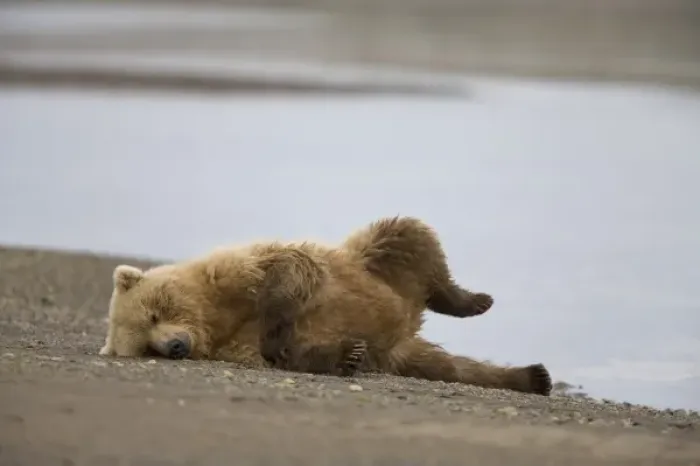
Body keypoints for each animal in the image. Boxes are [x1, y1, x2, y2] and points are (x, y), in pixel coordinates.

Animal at [100, 216, 552, 396]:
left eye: (155, 312)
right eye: (146, 346)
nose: (175, 346)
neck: (216, 318)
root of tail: (409, 322)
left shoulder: (240, 272)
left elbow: (286, 275)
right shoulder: (236, 346)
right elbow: (297, 352)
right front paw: (347, 355)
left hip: (377, 261)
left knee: (411, 236)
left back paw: (474, 301)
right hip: (400, 352)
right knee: (448, 366)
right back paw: (535, 376)